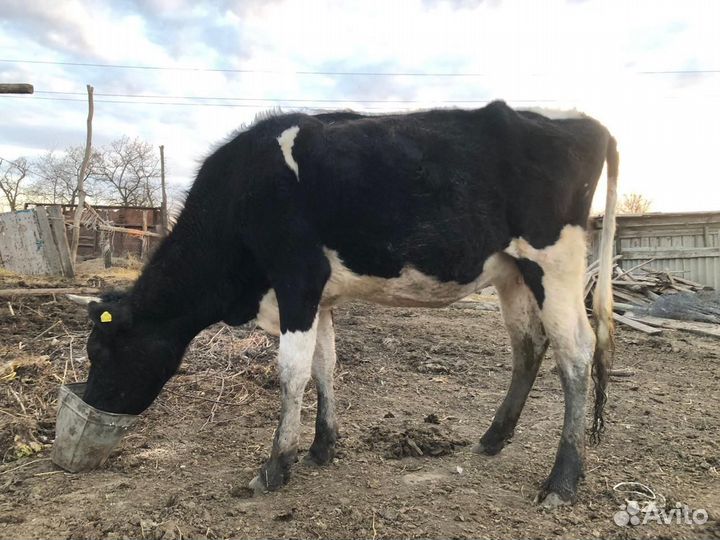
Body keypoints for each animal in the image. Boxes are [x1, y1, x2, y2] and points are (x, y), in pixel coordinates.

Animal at [72, 100, 618, 507]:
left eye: (99, 352)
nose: (92, 403)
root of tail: (586, 121)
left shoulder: (297, 280)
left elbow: (291, 372)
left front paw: (275, 465)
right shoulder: (320, 298)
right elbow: (325, 365)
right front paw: (321, 447)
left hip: (556, 262)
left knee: (576, 353)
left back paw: (563, 480)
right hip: (513, 273)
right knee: (529, 346)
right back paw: (493, 437)